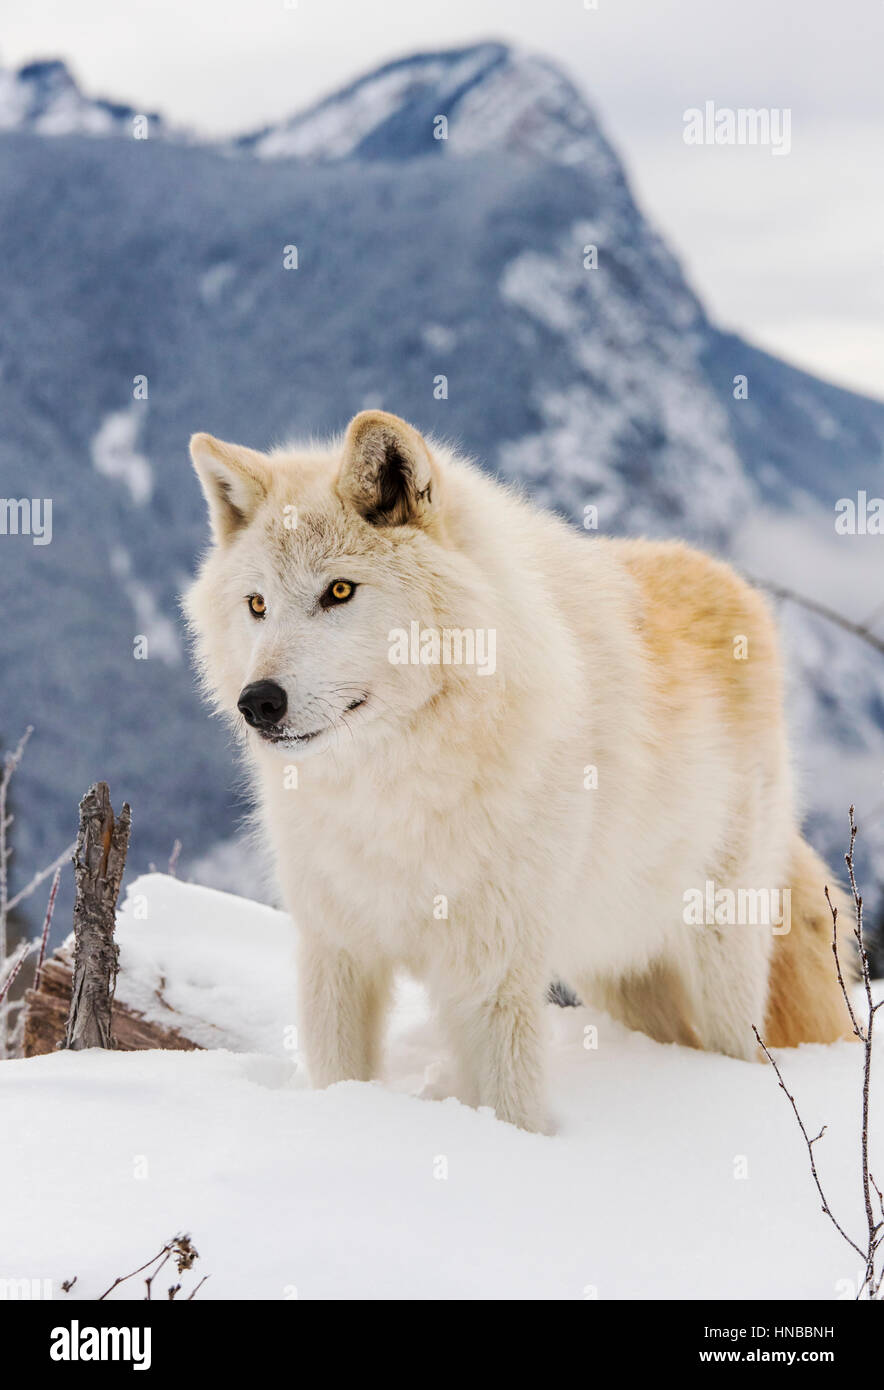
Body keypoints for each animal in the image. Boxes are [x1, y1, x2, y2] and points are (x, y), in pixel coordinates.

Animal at [184, 409, 853, 1132]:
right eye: (256, 604)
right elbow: (339, 1075)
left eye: (338, 591)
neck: (392, 789)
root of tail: (730, 583)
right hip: (614, 968)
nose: (258, 703)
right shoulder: (337, 953)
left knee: (739, 1049)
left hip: (721, 952)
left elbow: (512, 1108)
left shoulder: (493, 975)